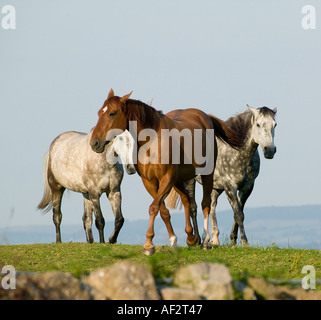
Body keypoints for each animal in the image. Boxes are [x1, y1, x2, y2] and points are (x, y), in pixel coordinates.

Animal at [90, 89, 240, 255]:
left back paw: (206, 240)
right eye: (99, 112)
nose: (94, 143)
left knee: (205, 204)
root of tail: (205, 116)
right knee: (187, 201)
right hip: (179, 180)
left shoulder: (166, 180)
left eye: (112, 113)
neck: (152, 142)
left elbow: (154, 208)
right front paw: (172, 240)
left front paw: (148, 245)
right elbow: (163, 210)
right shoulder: (150, 182)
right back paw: (191, 238)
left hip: (206, 174)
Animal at [166, 105, 276, 248]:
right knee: (193, 207)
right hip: (190, 181)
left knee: (211, 207)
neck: (237, 151)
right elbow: (238, 214)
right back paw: (197, 240)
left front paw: (233, 239)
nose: (270, 150)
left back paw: (214, 239)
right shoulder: (230, 186)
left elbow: (238, 212)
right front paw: (244, 241)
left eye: (275, 124)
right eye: (258, 124)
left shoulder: (247, 187)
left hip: (215, 187)